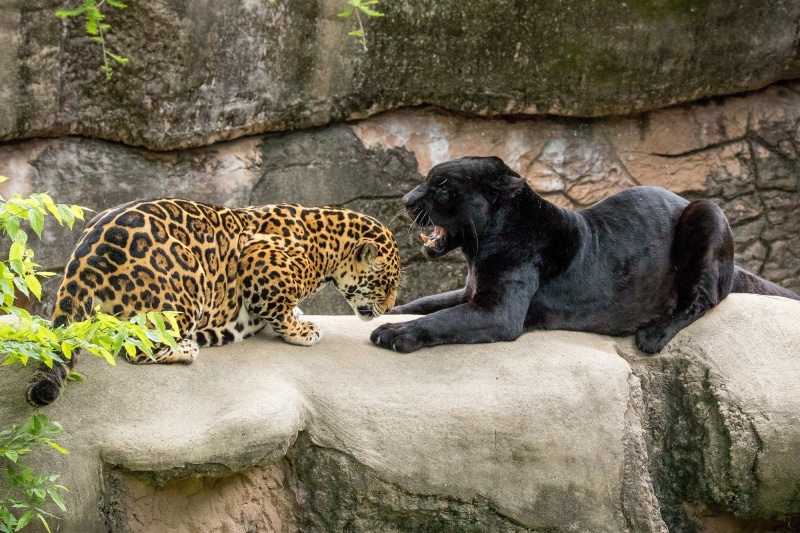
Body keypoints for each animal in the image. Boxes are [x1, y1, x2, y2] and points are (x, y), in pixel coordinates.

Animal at [26, 199, 400, 407]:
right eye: (387, 284)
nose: (389, 309)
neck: (328, 247)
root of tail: (84, 258)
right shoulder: (259, 260)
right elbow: (276, 306)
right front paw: (301, 330)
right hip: (185, 284)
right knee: (138, 345)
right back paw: (186, 349)